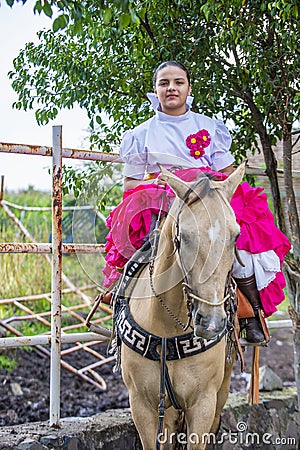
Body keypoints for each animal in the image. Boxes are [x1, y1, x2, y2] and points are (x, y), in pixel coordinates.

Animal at [115, 163, 244, 448]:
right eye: (184, 236)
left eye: (235, 236)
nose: (211, 322)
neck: (167, 328)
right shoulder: (141, 404)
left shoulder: (203, 403)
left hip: (221, 390)